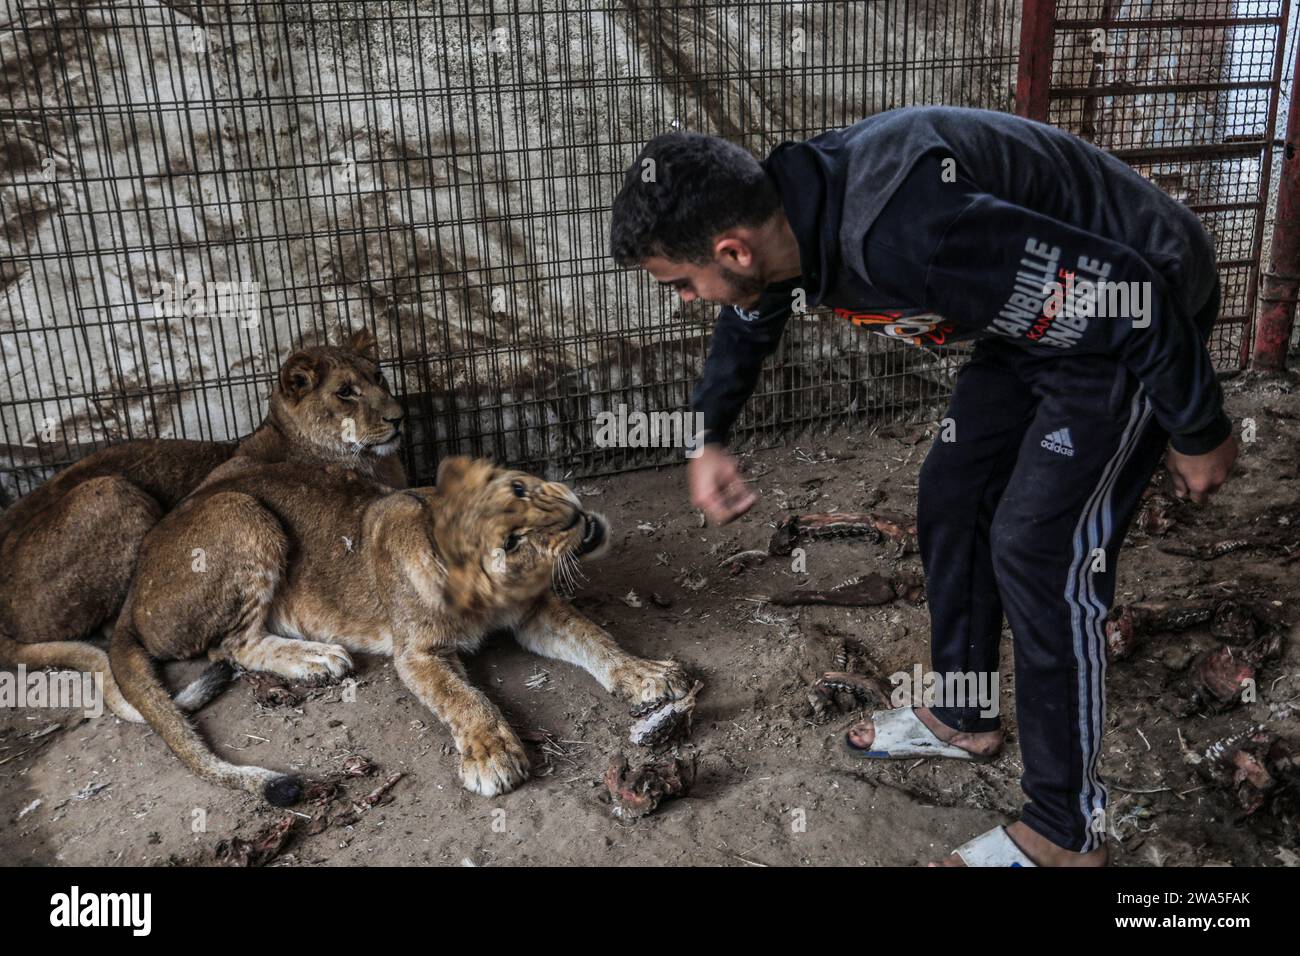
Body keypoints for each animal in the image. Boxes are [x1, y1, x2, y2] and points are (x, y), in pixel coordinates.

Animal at [0, 327, 405, 717]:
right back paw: (314, 657)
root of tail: (134, 601)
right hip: (179, 502)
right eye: (345, 392)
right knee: (230, 645)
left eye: (379, 377)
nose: (398, 417)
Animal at [109, 455, 691, 801]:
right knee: (229, 645)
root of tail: (133, 587)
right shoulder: (418, 653)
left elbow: (596, 638)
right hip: (241, 511)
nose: (574, 516)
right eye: (510, 541)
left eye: (522, 487)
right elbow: (463, 698)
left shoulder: (535, 613)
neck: (489, 596)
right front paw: (491, 754)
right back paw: (316, 658)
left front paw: (647, 675)